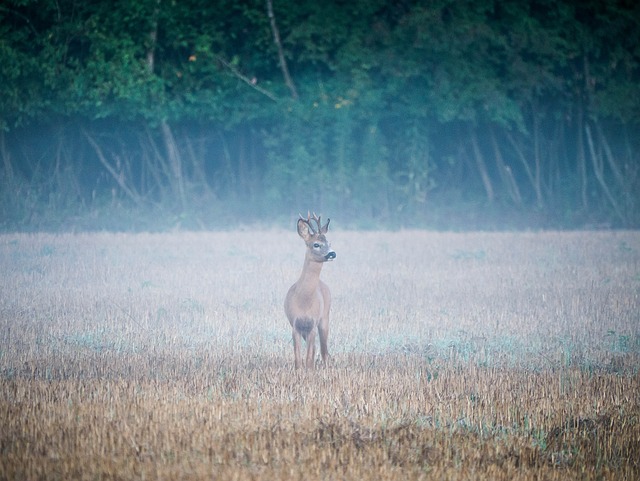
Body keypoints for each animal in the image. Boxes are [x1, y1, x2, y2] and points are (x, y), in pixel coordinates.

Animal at [284, 212, 336, 370]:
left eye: (329, 243)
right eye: (316, 244)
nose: (332, 254)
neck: (304, 300)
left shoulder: (313, 324)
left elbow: (308, 358)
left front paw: (310, 371)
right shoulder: (295, 325)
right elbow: (298, 359)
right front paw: (299, 371)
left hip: (324, 318)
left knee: (324, 350)